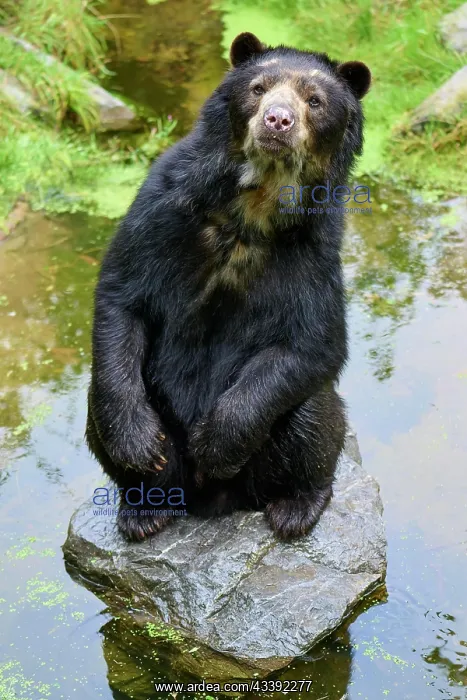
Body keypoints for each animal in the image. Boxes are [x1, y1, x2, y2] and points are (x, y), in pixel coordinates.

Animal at [86, 32, 371, 542]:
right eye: (258, 88)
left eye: (315, 101)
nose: (278, 120)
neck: (254, 205)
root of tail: (212, 500)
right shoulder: (161, 210)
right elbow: (122, 298)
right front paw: (138, 443)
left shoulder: (316, 251)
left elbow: (315, 342)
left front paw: (214, 445)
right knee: (97, 404)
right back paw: (145, 508)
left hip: (267, 466)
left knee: (312, 414)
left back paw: (296, 507)